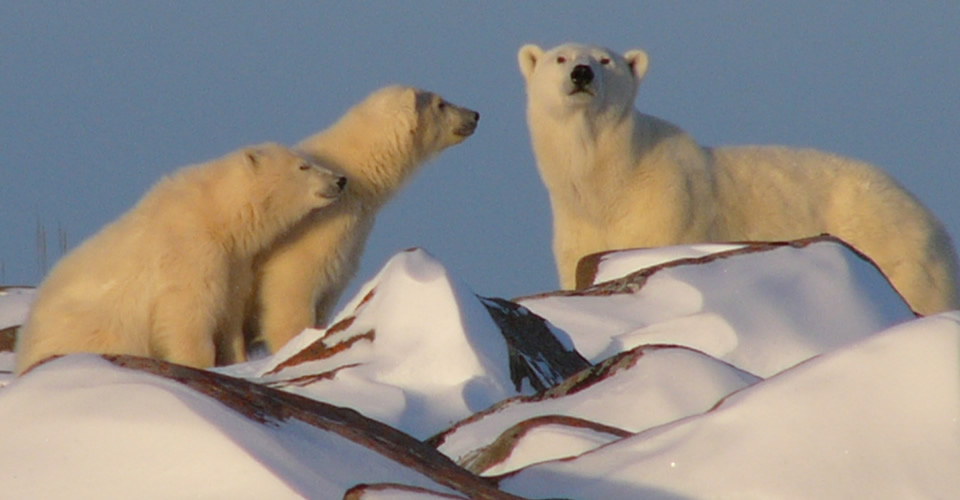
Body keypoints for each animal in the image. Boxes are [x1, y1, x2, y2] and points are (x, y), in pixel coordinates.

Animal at [15, 143, 344, 374]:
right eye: (303, 166)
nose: (340, 180)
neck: (215, 214)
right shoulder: (189, 252)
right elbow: (189, 313)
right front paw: (200, 362)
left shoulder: (234, 262)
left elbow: (229, 313)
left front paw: (235, 360)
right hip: (90, 333)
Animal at [248, 86, 480, 352]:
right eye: (441, 104)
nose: (475, 115)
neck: (353, 177)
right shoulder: (313, 231)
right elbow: (291, 297)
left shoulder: (350, 239)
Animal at [516, 44, 960, 316]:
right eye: (559, 58)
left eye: (606, 60)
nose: (582, 73)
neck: (610, 182)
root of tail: (930, 219)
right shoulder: (577, 230)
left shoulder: (669, 206)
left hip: (895, 248)